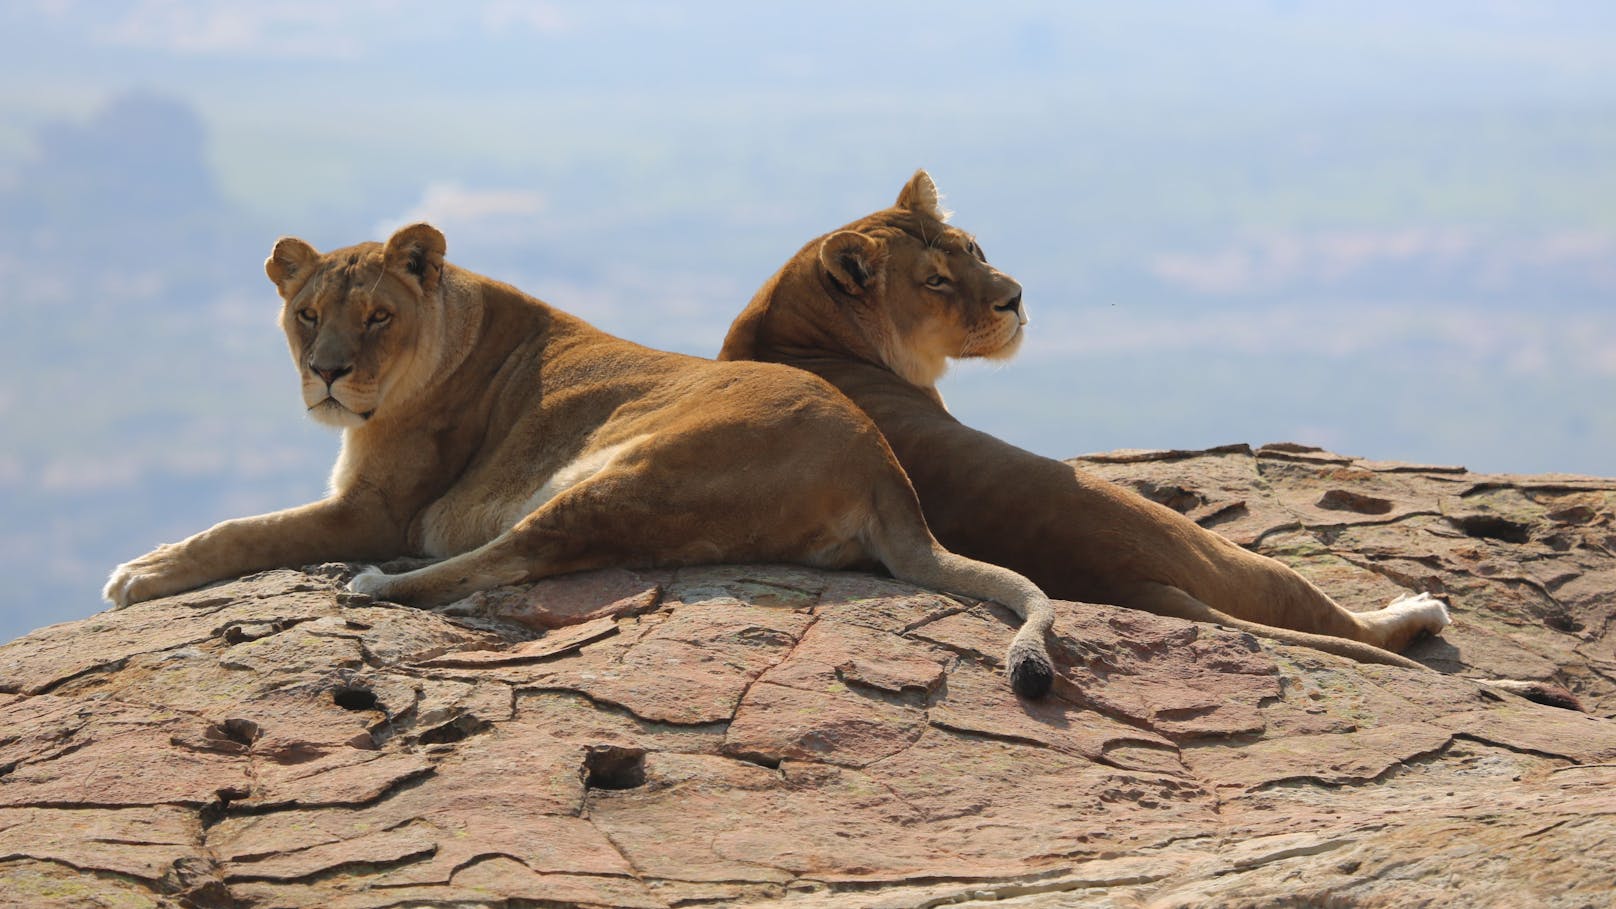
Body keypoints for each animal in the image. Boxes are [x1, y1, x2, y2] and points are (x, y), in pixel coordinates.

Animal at [104, 219, 1060, 692]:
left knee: (502, 558)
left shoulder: (375, 508)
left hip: (629, 471)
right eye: (307, 314)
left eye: (375, 315)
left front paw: (141, 573)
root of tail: (882, 463)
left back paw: (376, 584)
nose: (328, 373)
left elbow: (242, 531)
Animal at [717, 169, 1454, 669]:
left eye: (972, 248)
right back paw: (1418, 608)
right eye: (935, 281)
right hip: (1228, 555)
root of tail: (1127, 578)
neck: (793, 326)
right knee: (1333, 616)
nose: (1015, 298)